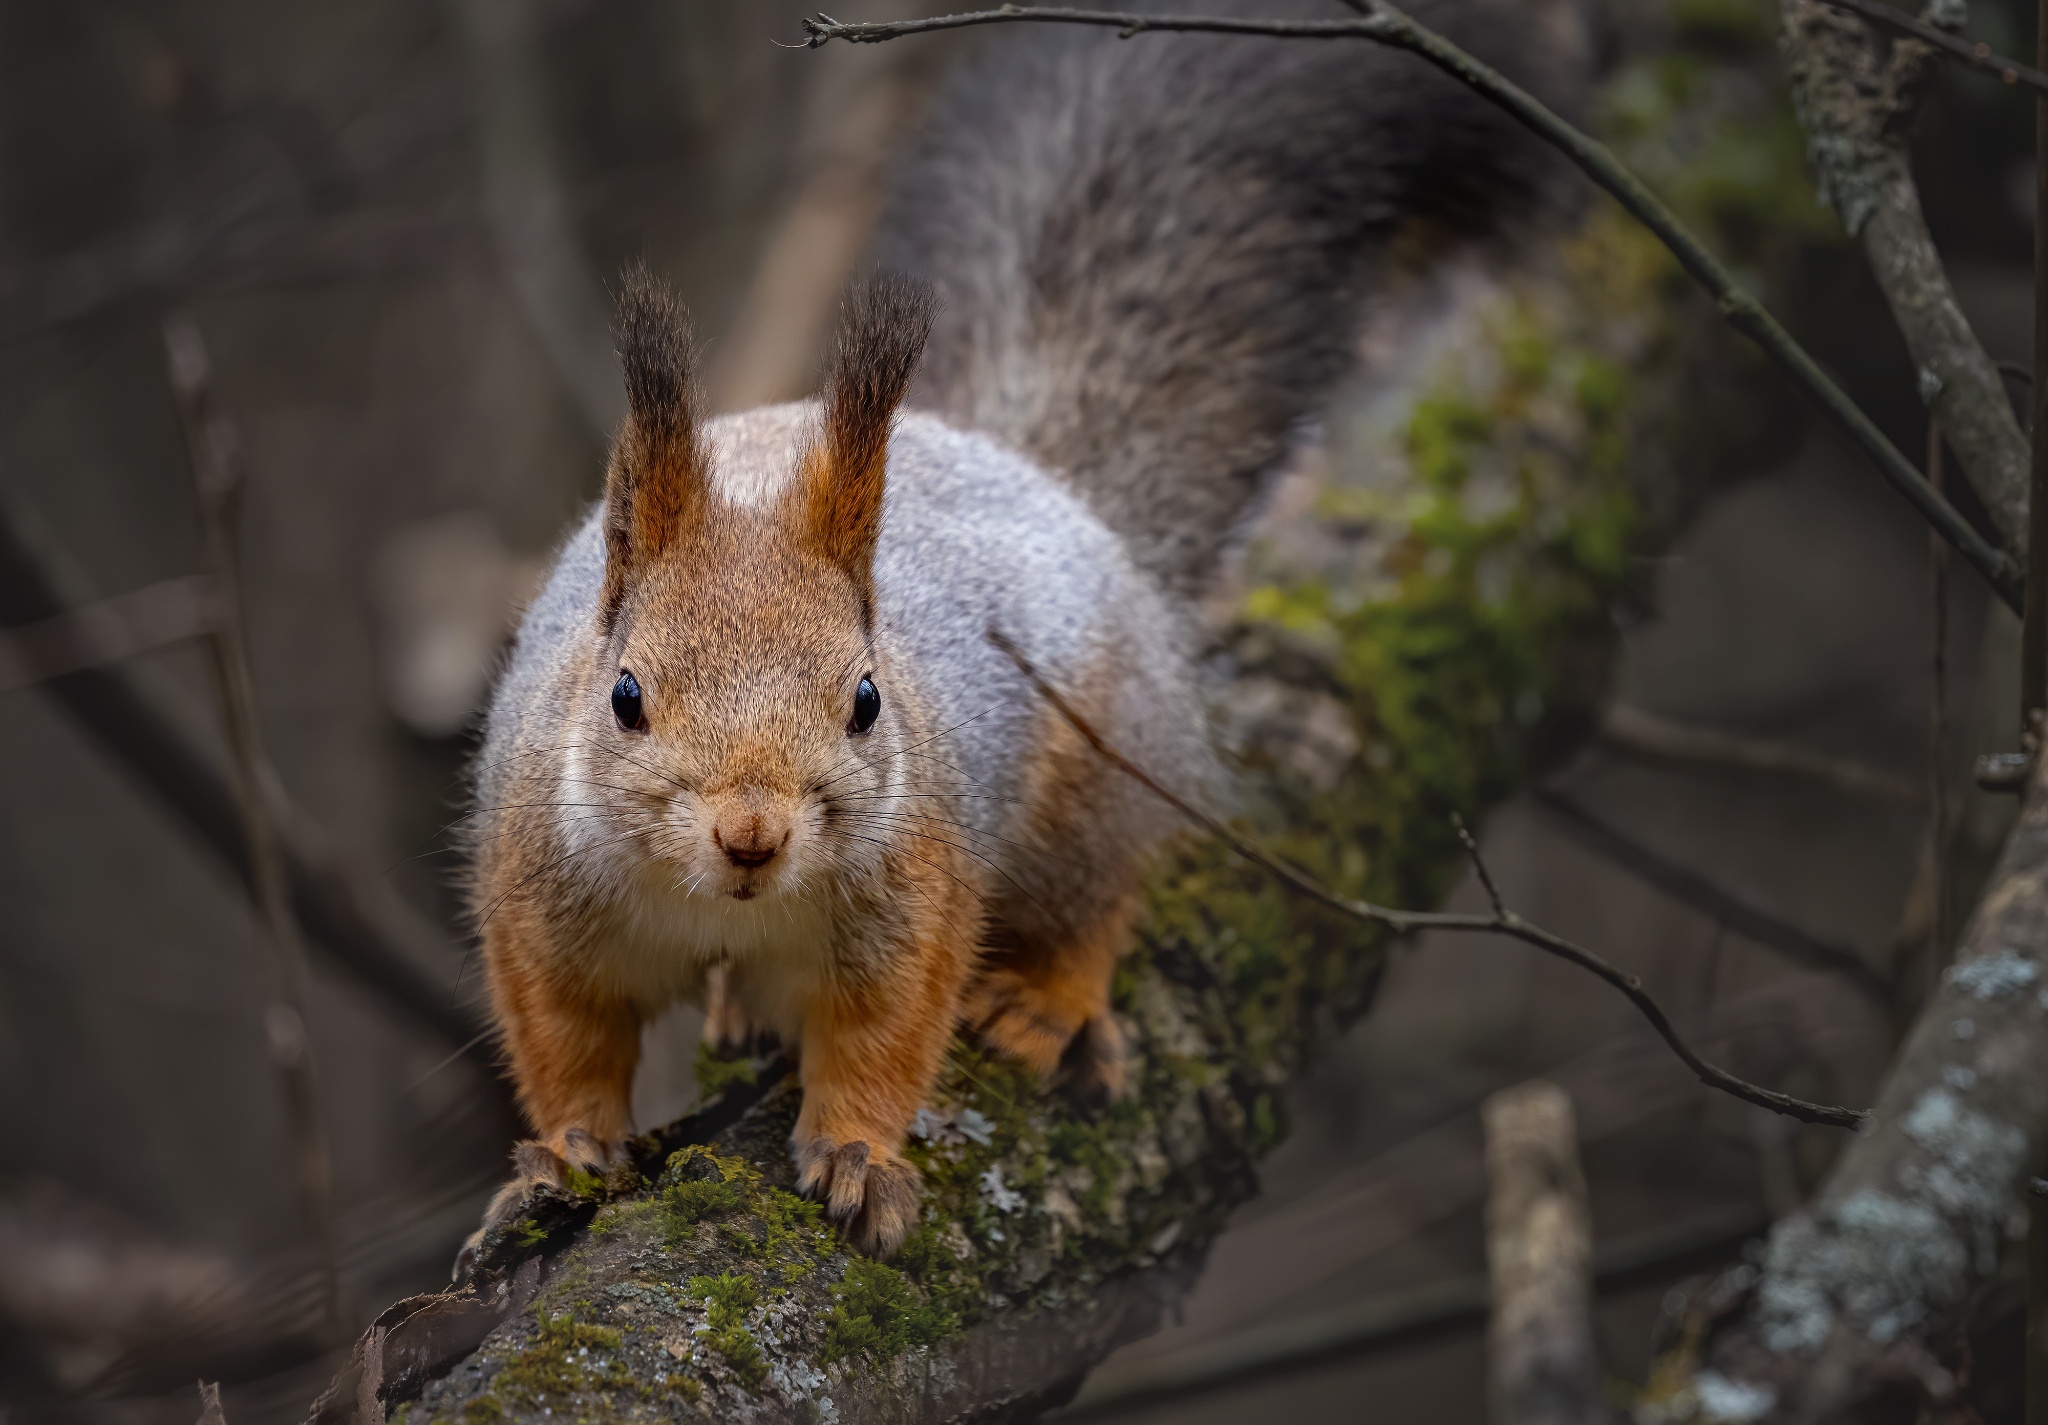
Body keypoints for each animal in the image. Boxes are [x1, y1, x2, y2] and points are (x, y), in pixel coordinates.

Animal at [468, 0, 1581, 1261]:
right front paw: (567, 1153)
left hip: (1097, 780)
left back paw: (1044, 1004)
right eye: (624, 697)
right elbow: (563, 1038)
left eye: (866, 701)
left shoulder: (918, 893)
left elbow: (884, 1036)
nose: (752, 835)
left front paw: (856, 1158)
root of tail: (1035, 475)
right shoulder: (534, 897)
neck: (720, 907)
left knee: (1098, 899)